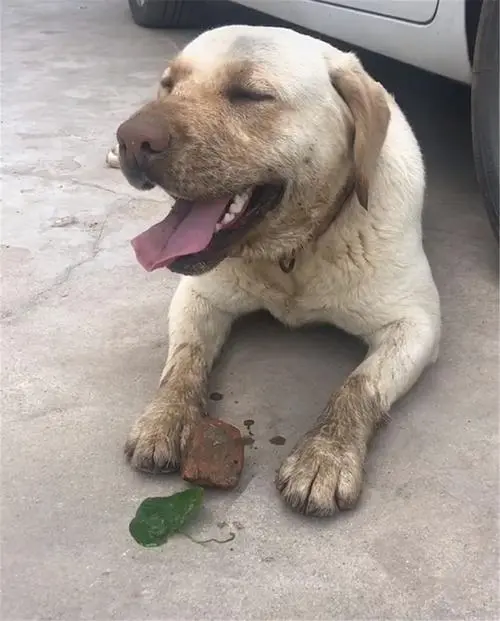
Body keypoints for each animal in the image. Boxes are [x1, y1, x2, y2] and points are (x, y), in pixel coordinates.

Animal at [110, 24, 442, 516]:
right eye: (168, 84)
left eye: (250, 94)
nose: (132, 139)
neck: (293, 254)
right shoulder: (198, 295)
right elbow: (184, 361)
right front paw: (165, 417)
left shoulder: (416, 323)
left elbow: (358, 385)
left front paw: (325, 456)